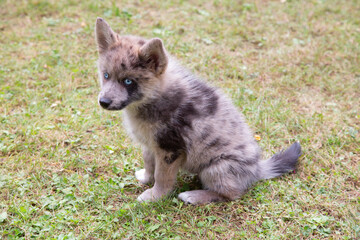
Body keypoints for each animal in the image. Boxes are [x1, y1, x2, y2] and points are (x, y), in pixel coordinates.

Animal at [95, 17, 300, 204]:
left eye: (128, 81)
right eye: (106, 75)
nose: (103, 102)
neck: (153, 98)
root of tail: (256, 170)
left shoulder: (170, 150)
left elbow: (162, 177)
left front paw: (154, 196)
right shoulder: (151, 145)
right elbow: (149, 162)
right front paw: (146, 178)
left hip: (216, 169)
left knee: (231, 195)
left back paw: (194, 196)